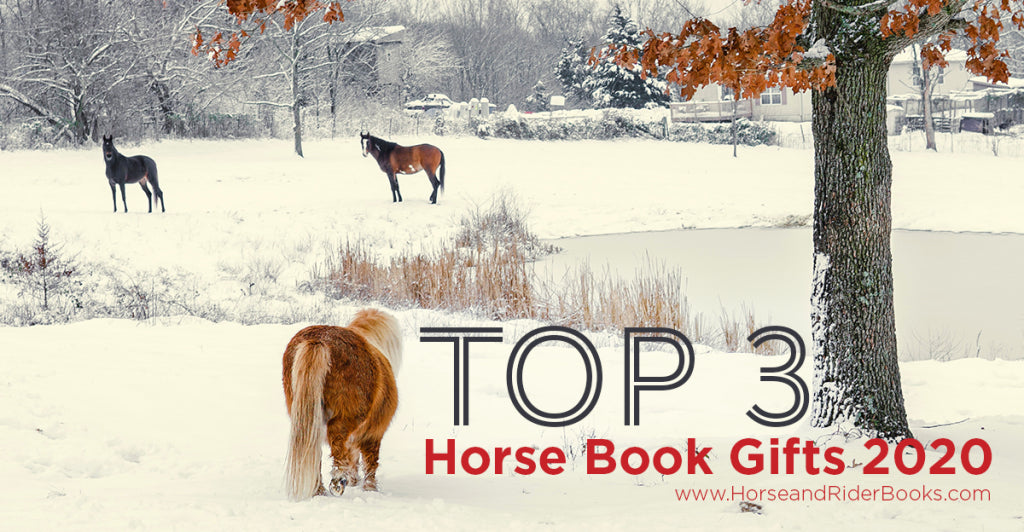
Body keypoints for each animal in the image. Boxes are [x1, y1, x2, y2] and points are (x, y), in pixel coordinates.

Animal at [281, 308, 403, 501]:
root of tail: (319, 340)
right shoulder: (374, 434)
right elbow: (370, 463)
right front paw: (370, 489)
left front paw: (354, 481)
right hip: (347, 417)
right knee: (337, 442)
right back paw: (338, 482)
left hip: (307, 415)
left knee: (315, 451)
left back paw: (319, 491)